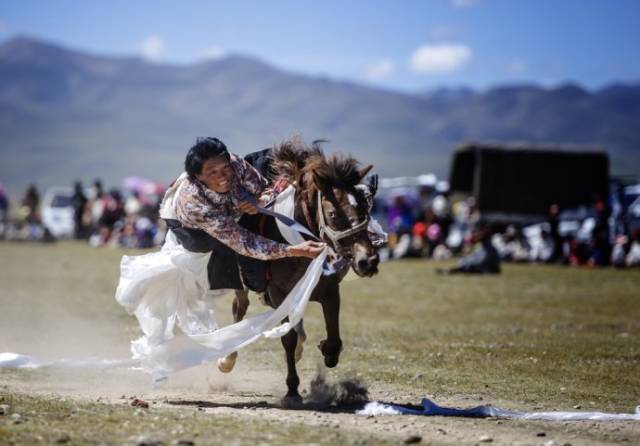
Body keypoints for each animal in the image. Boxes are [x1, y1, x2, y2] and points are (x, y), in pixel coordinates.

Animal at [218, 140, 382, 404]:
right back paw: (227, 359)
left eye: (365, 209)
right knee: (239, 309)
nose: (368, 261)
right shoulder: (279, 292)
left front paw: (327, 351)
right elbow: (288, 338)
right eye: (333, 214)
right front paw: (292, 389)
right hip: (242, 285)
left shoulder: (330, 291)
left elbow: (333, 338)